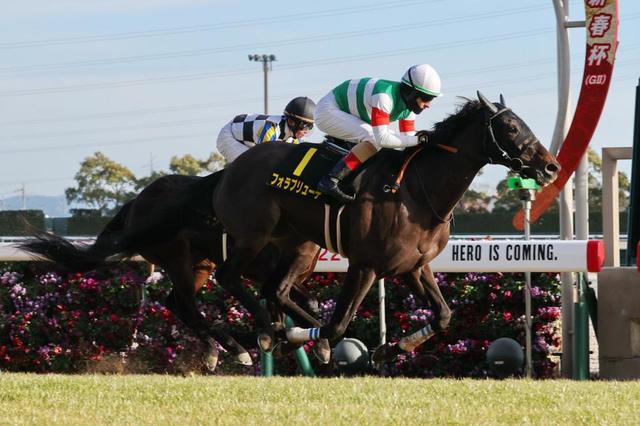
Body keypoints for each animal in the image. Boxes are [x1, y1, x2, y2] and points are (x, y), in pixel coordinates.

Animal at [212, 91, 556, 362]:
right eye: (511, 126)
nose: (551, 166)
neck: (416, 193)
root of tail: (234, 167)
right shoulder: (364, 266)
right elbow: (337, 325)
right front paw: (304, 339)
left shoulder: (414, 266)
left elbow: (443, 315)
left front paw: (391, 349)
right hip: (253, 236)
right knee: (229, 277)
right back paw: (265, 334)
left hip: (297, 246)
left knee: (276, 290)